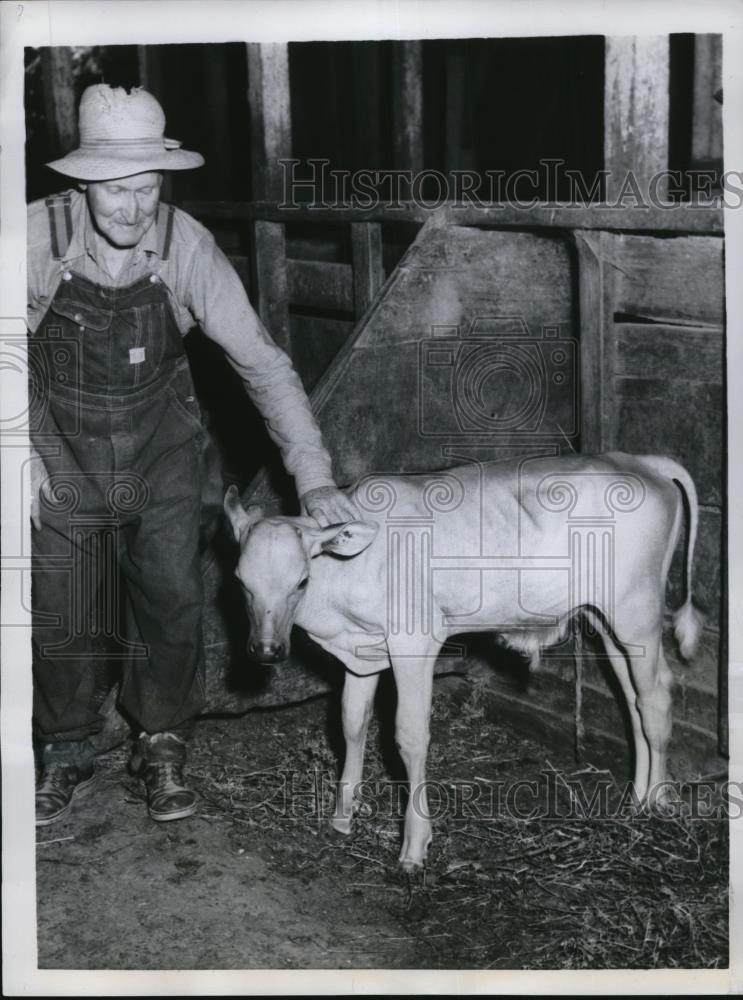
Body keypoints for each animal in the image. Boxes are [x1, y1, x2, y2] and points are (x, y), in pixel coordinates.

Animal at [225, 454, 704, 868]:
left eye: (301, 580)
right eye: (240, 581)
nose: (266, 650)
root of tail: (639, 460)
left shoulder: (415, 642)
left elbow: (408, 736)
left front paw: (414, 846)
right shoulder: (360, 650)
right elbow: (351, 722)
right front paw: (342, 816)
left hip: (637, 610)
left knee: (656, 698)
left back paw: (657, 803)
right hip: (606, 619)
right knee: (633, 699)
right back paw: (635, 800)